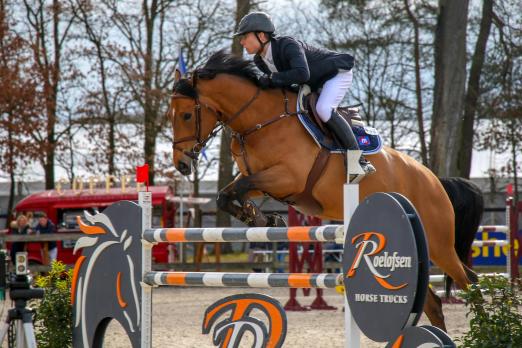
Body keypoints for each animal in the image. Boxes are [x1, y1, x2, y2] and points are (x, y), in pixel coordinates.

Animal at [168, 50, 476, 330]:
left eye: (187, 115)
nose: (181, 164)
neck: (260, 120)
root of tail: (435, 180)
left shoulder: (287, 178)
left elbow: (241, 188)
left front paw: (265, 218)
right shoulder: (259, 178)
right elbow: (227, 195)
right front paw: (261, 218)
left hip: (438, 244)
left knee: (469, 281)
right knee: (433, 304)